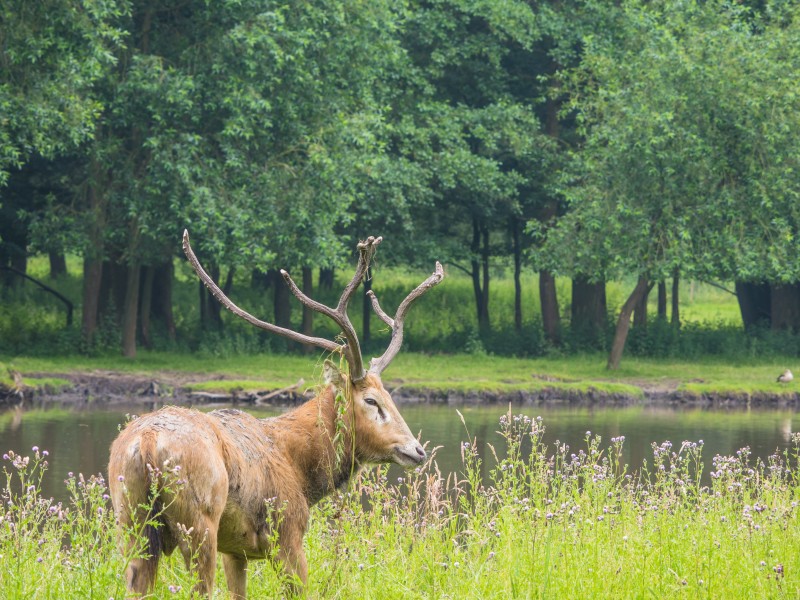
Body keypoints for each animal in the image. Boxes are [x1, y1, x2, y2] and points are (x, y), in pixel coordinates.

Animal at [106, 232, 444, 596]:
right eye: (371, 400)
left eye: (390, 395)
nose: (417, 450)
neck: (302, 471)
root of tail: (147, 442)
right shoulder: (288, 533)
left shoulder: (235, 551)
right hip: (199, 522)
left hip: (130, 524)